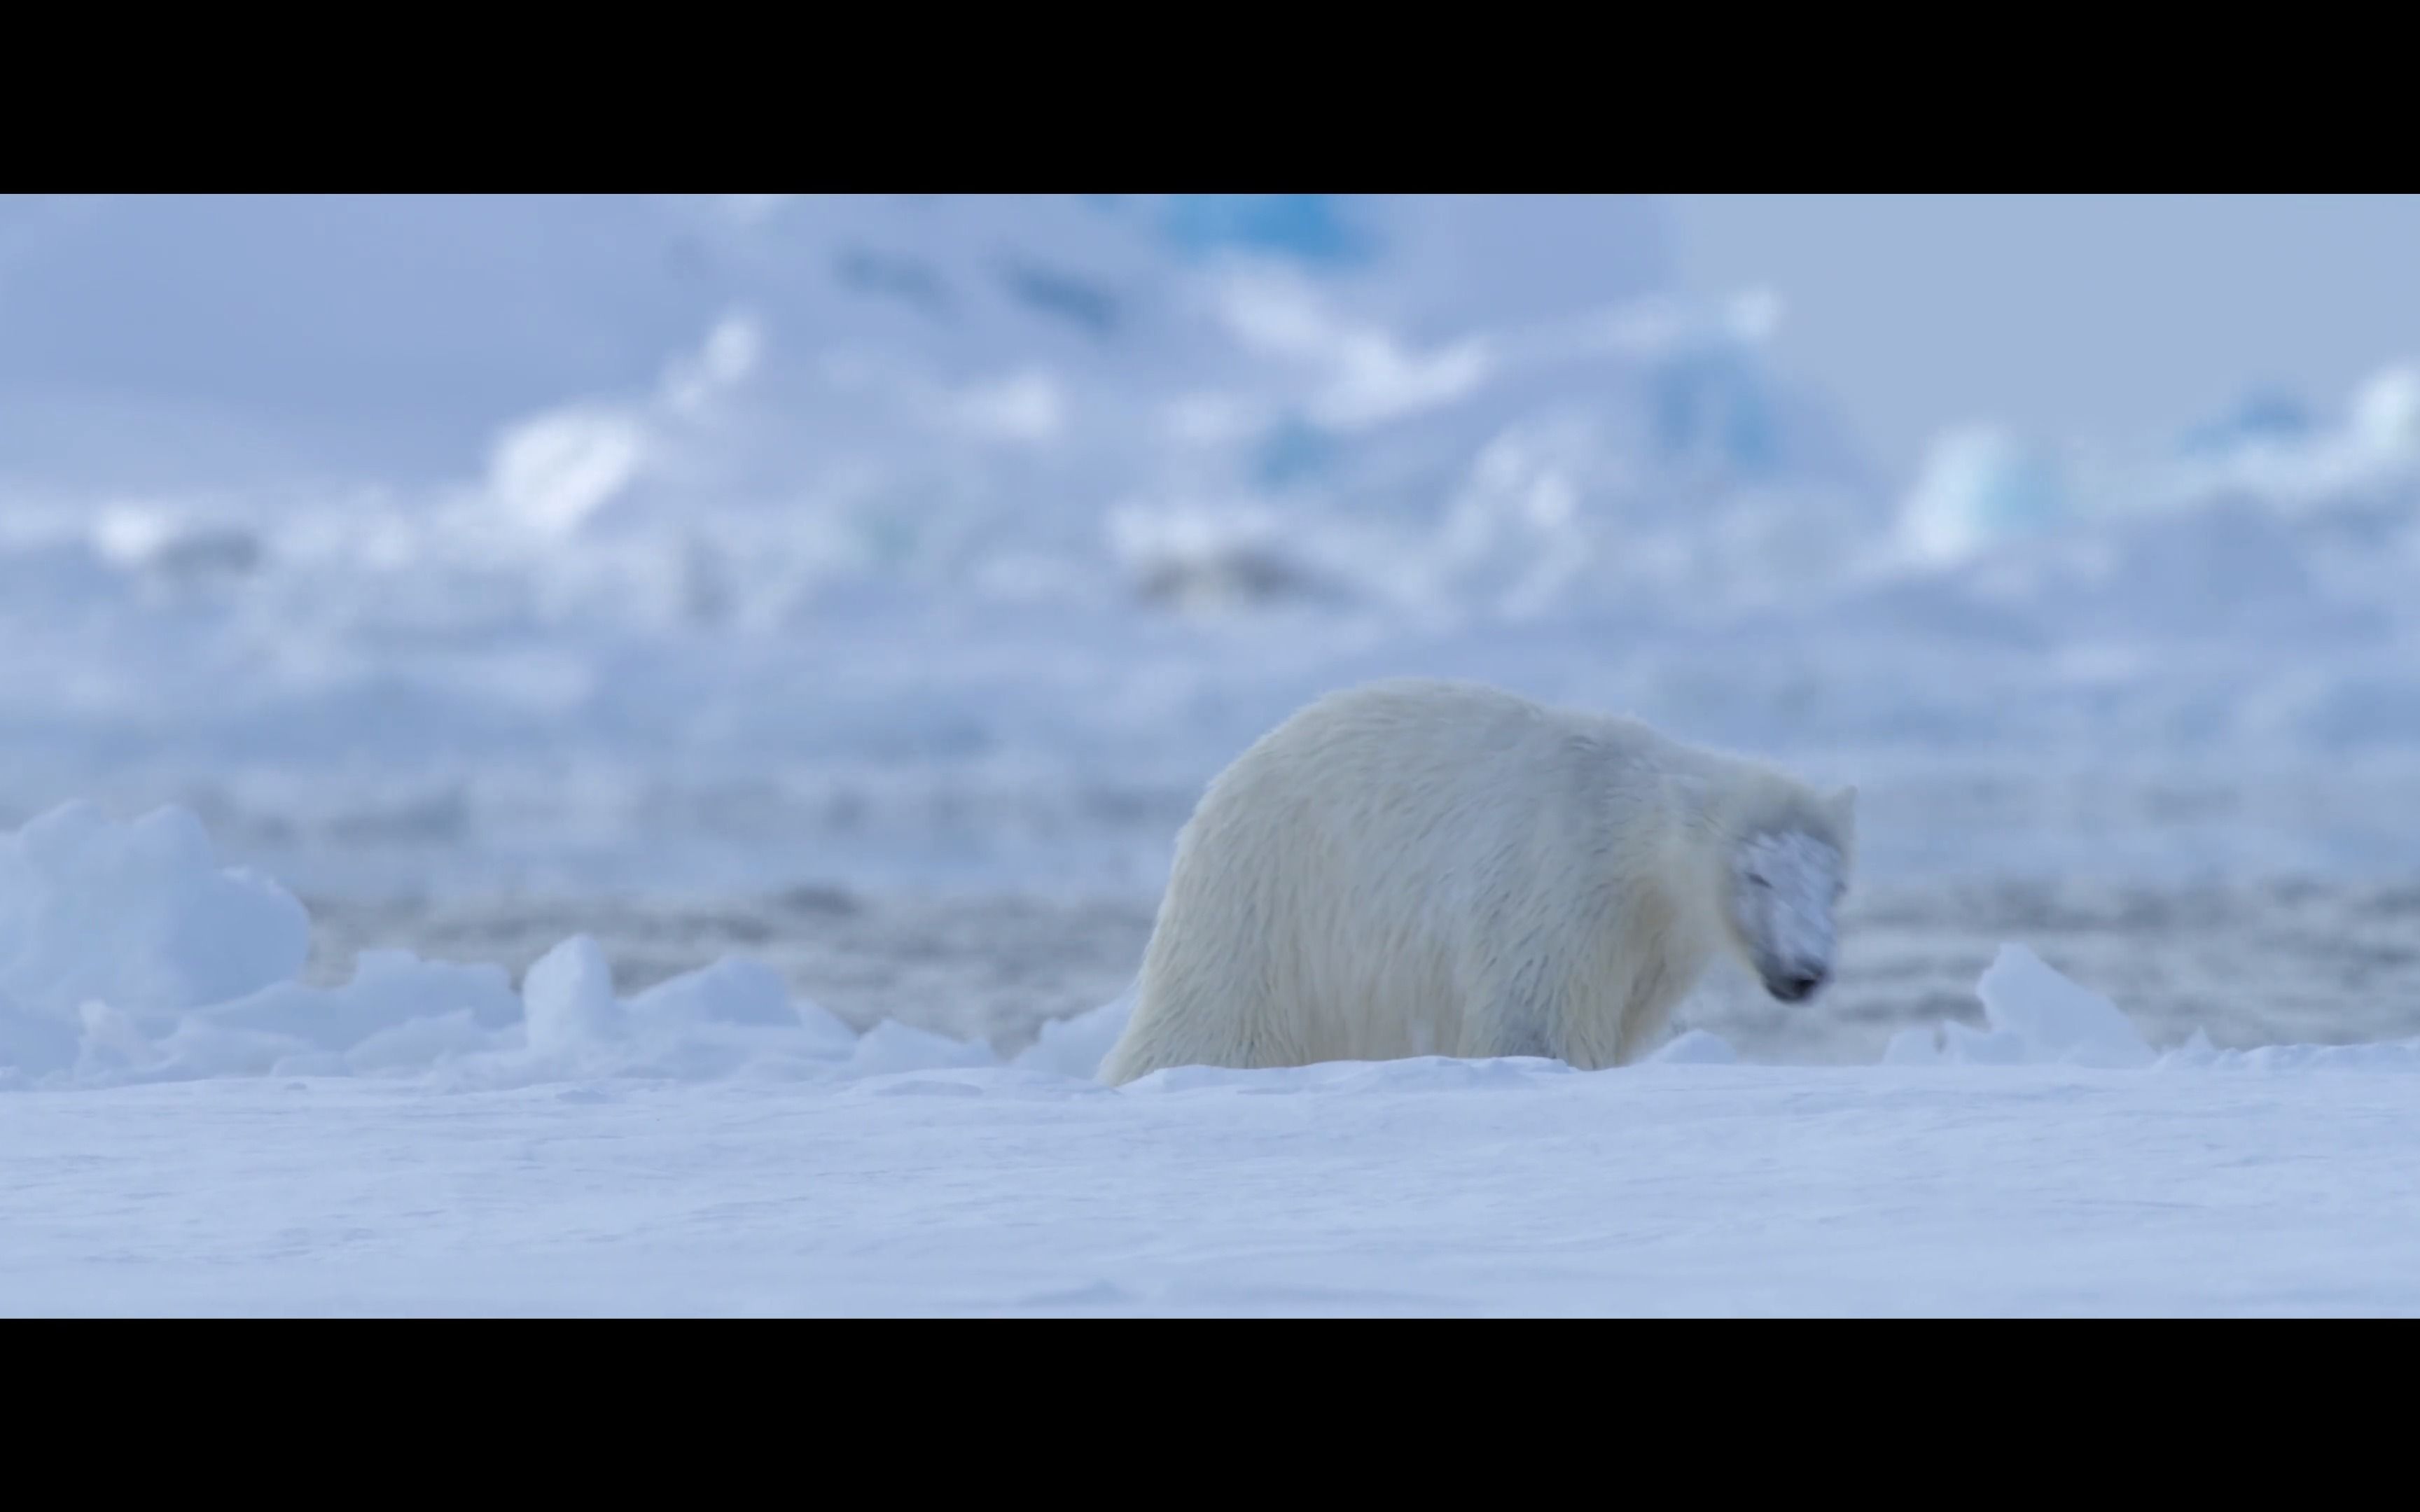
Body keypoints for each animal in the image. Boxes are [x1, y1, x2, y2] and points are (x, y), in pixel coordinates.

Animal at [1099, 677, 1849, 1084]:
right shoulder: (1560, 889)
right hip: (1272, 910)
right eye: (1759, 876)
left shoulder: (1646, 952)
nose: (1806, 972)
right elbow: (1532, 1021)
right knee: (1216, 1022)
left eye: (1835, 884)